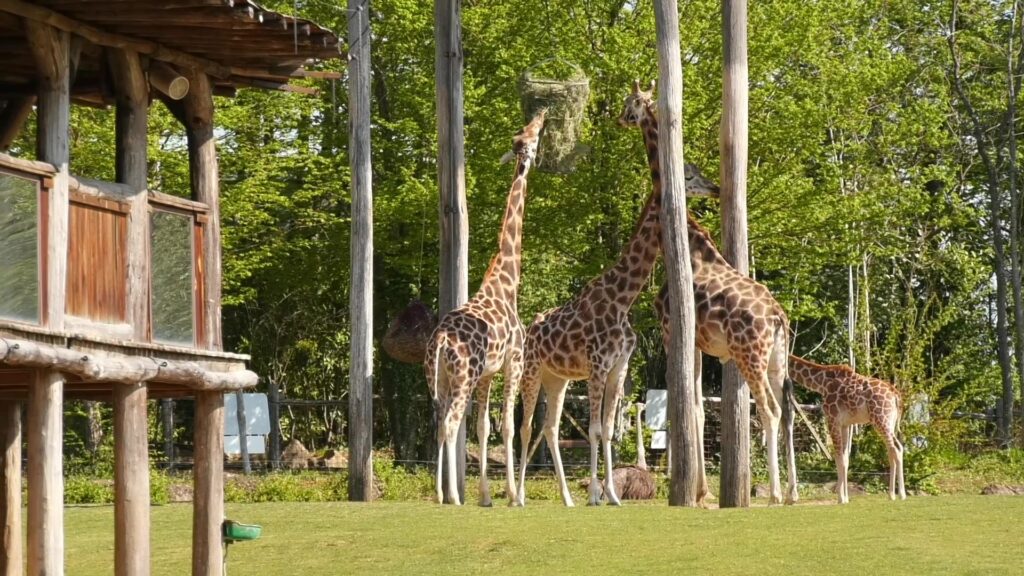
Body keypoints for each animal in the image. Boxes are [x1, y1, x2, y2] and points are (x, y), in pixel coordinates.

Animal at [423, 109, 548, 504]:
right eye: (530, 136)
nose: (542, 115)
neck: (507, 281)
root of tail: (441, 341)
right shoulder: (514, 360)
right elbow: (507, 425)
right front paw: (512, 495)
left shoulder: (488, 372)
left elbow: (482, 426)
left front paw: (487, 496)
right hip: (463, 375)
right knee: (450, 424)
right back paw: (453, 495)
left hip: (441, 379)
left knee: (440, 422)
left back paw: (440, 494)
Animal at [516, 83, 716, 504]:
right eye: (689, 172)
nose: (715, 187)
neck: (622, 297)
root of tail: (531, 328)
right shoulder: (596, 365)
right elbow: (595, 429)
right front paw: (598, 494)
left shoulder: (617, 367)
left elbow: (607, 429)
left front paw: (609, 493)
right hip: (532, 369)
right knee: (525, 427)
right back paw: (518, 495)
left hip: (557, 377)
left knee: (550, 428)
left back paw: (567, 497)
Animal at [786, 354, 909, 502]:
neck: (822, 383)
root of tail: (896, 395)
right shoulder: (845, 424)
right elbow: (845, 458)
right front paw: (846, 497)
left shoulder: (833, 420)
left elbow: (838, 457)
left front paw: (840, 498)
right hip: (890, 422)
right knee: (899, 447)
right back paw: (899, 494)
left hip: (880, 419)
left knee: (893, 449)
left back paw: (895, 494)